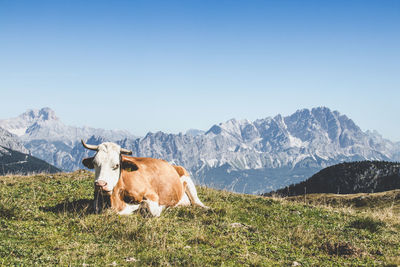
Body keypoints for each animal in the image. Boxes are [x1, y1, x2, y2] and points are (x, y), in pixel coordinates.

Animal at [80, 140, 208, 218]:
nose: (100, 184)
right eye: (95, 163)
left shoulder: (152, 195)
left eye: (116, 165)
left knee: (196, 202)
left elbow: (150, 209)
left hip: (186, 177)